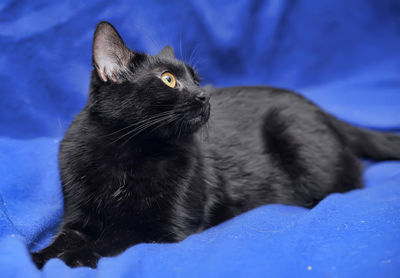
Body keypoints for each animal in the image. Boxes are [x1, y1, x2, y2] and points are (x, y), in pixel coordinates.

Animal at [30, 22, 400, 270]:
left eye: (197, 79)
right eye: (168, 79)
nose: (204, 96)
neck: (128, 151)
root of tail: (322, 110)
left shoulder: (162, 229)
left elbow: (113, 239)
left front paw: (73, 257)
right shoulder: (77, 216)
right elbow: (65, 236)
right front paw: (38, 257)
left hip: (297, 137)